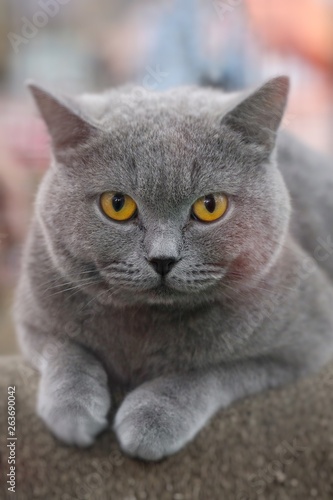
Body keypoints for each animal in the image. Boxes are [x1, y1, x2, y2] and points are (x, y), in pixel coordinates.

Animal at [13, 77, 333, 460]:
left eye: (210, 206)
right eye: (117, 204)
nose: (162, 259)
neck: (145, 324)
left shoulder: (307, 340)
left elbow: (210, 370)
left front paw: (153, 417)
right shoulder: (32, 316)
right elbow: (67, 351)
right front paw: (72, 411)